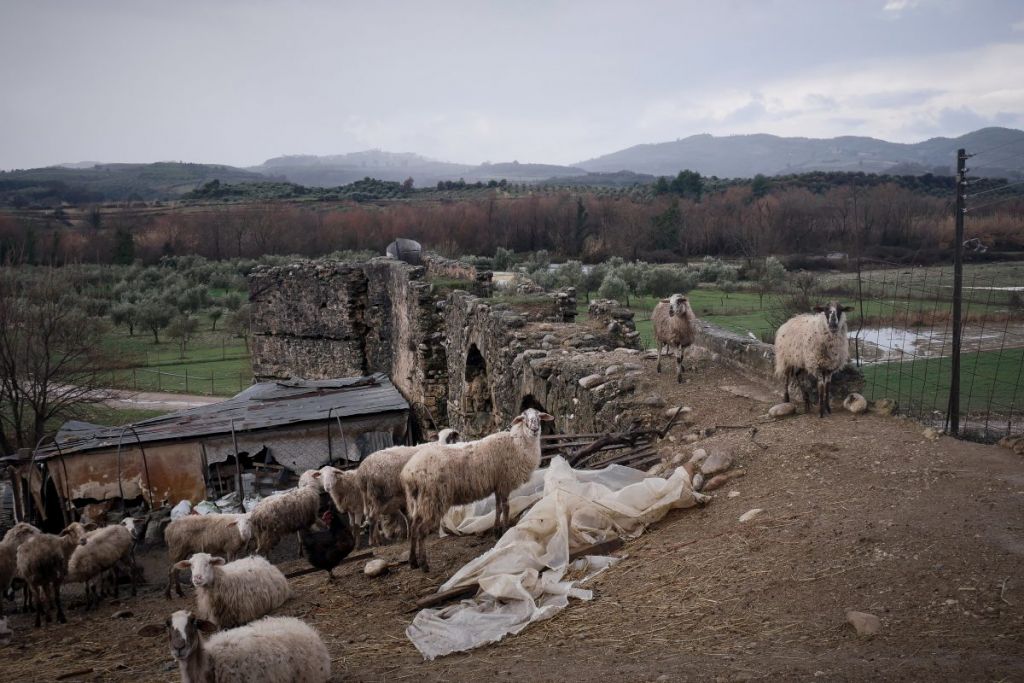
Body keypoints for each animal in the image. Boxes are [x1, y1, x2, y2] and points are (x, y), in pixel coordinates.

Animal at [399, 409, 552, 573]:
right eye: (524, 418)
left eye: (539, 417)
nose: (535, 429)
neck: (517, 444)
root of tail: (409, 472)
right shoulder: (504, 483)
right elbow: (506, 508)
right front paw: (505, 530)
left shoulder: (497, 485)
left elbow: (498, 508)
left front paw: (497, 531)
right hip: (433, 500)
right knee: (421, 531)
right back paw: (424, 564)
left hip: (418, 502)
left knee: (414, 528)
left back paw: (412, 561)